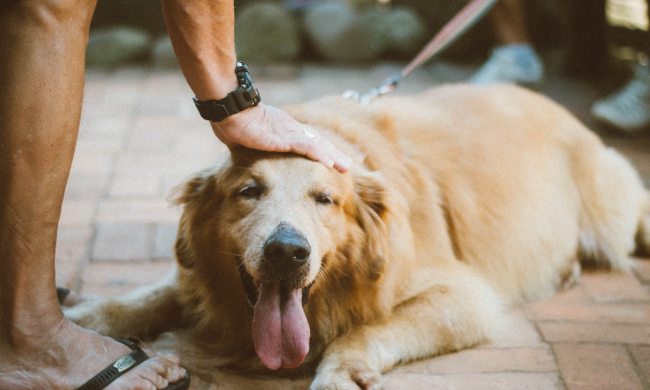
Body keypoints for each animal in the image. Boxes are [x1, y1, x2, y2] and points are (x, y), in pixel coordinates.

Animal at [67, 84, 648, 388]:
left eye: (325, 200)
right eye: (249, 191)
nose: (287, 252)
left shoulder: (464, 296)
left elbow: (368, 328)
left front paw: (340, 370)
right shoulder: (202, 280)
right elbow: (144, 298)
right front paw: (82, 318)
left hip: (614, 211)